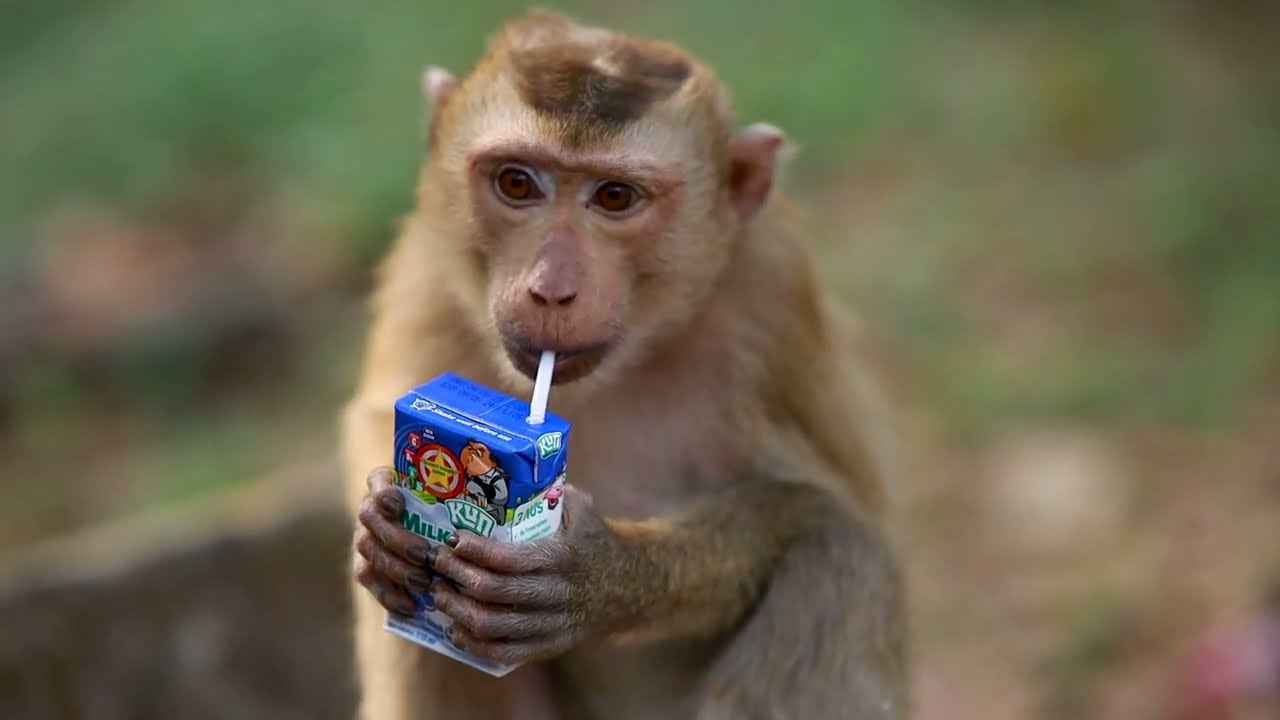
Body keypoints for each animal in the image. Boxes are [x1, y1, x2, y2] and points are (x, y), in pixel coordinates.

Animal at [343, 9, 908, 720]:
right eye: (516, 182)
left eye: (614, 197)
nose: (551, 289)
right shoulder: (424, 276)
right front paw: (384, 529)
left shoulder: (774, 292)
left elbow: (830, 503)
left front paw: (600, 574)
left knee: (840, 557)